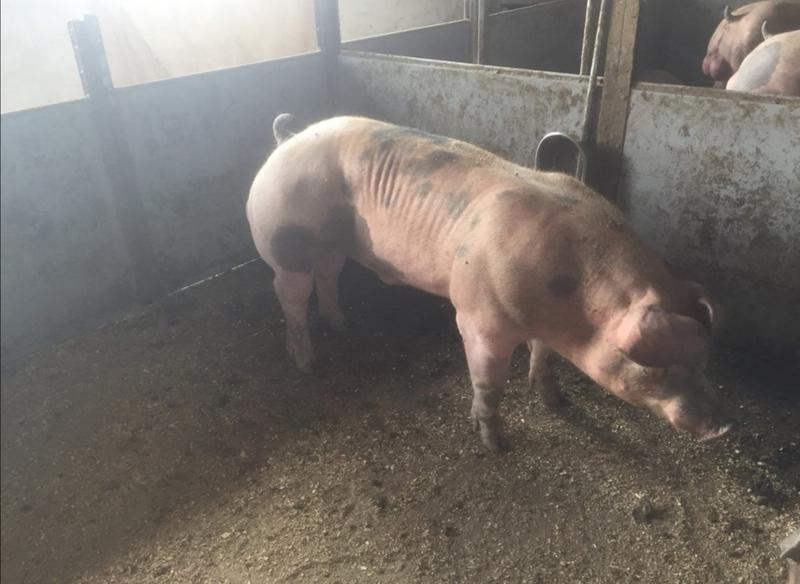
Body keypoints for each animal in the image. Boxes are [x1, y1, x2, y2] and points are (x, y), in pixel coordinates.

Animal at [246, 114, 732, 451]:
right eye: (658, 368)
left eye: (704, 360)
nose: (722, 426)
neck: (571, 304)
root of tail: (286, 139)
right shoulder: (479, 320)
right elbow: (489, 385)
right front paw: (496, 444)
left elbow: (544, 358)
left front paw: (555, 401)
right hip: (283, 240)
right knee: (289, 295)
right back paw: (308, 362)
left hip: (332, 245)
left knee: (327, 276)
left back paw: (340, 324)